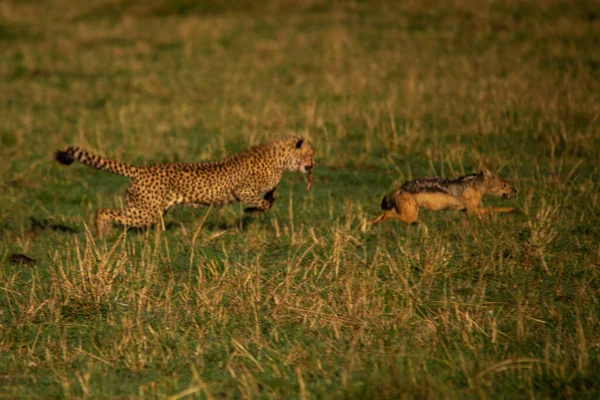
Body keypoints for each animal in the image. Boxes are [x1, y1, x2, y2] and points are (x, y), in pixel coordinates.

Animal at [54, 137, 316, 238]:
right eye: (310, 153)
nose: (313, 164)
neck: (281, 159)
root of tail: (140, 169)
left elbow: (271, 197)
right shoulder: (243, 191)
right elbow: (263, 203)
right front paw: (252, 210)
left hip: (148, 209)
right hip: (146, 212)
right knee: (102, 211)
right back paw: (101, 233)